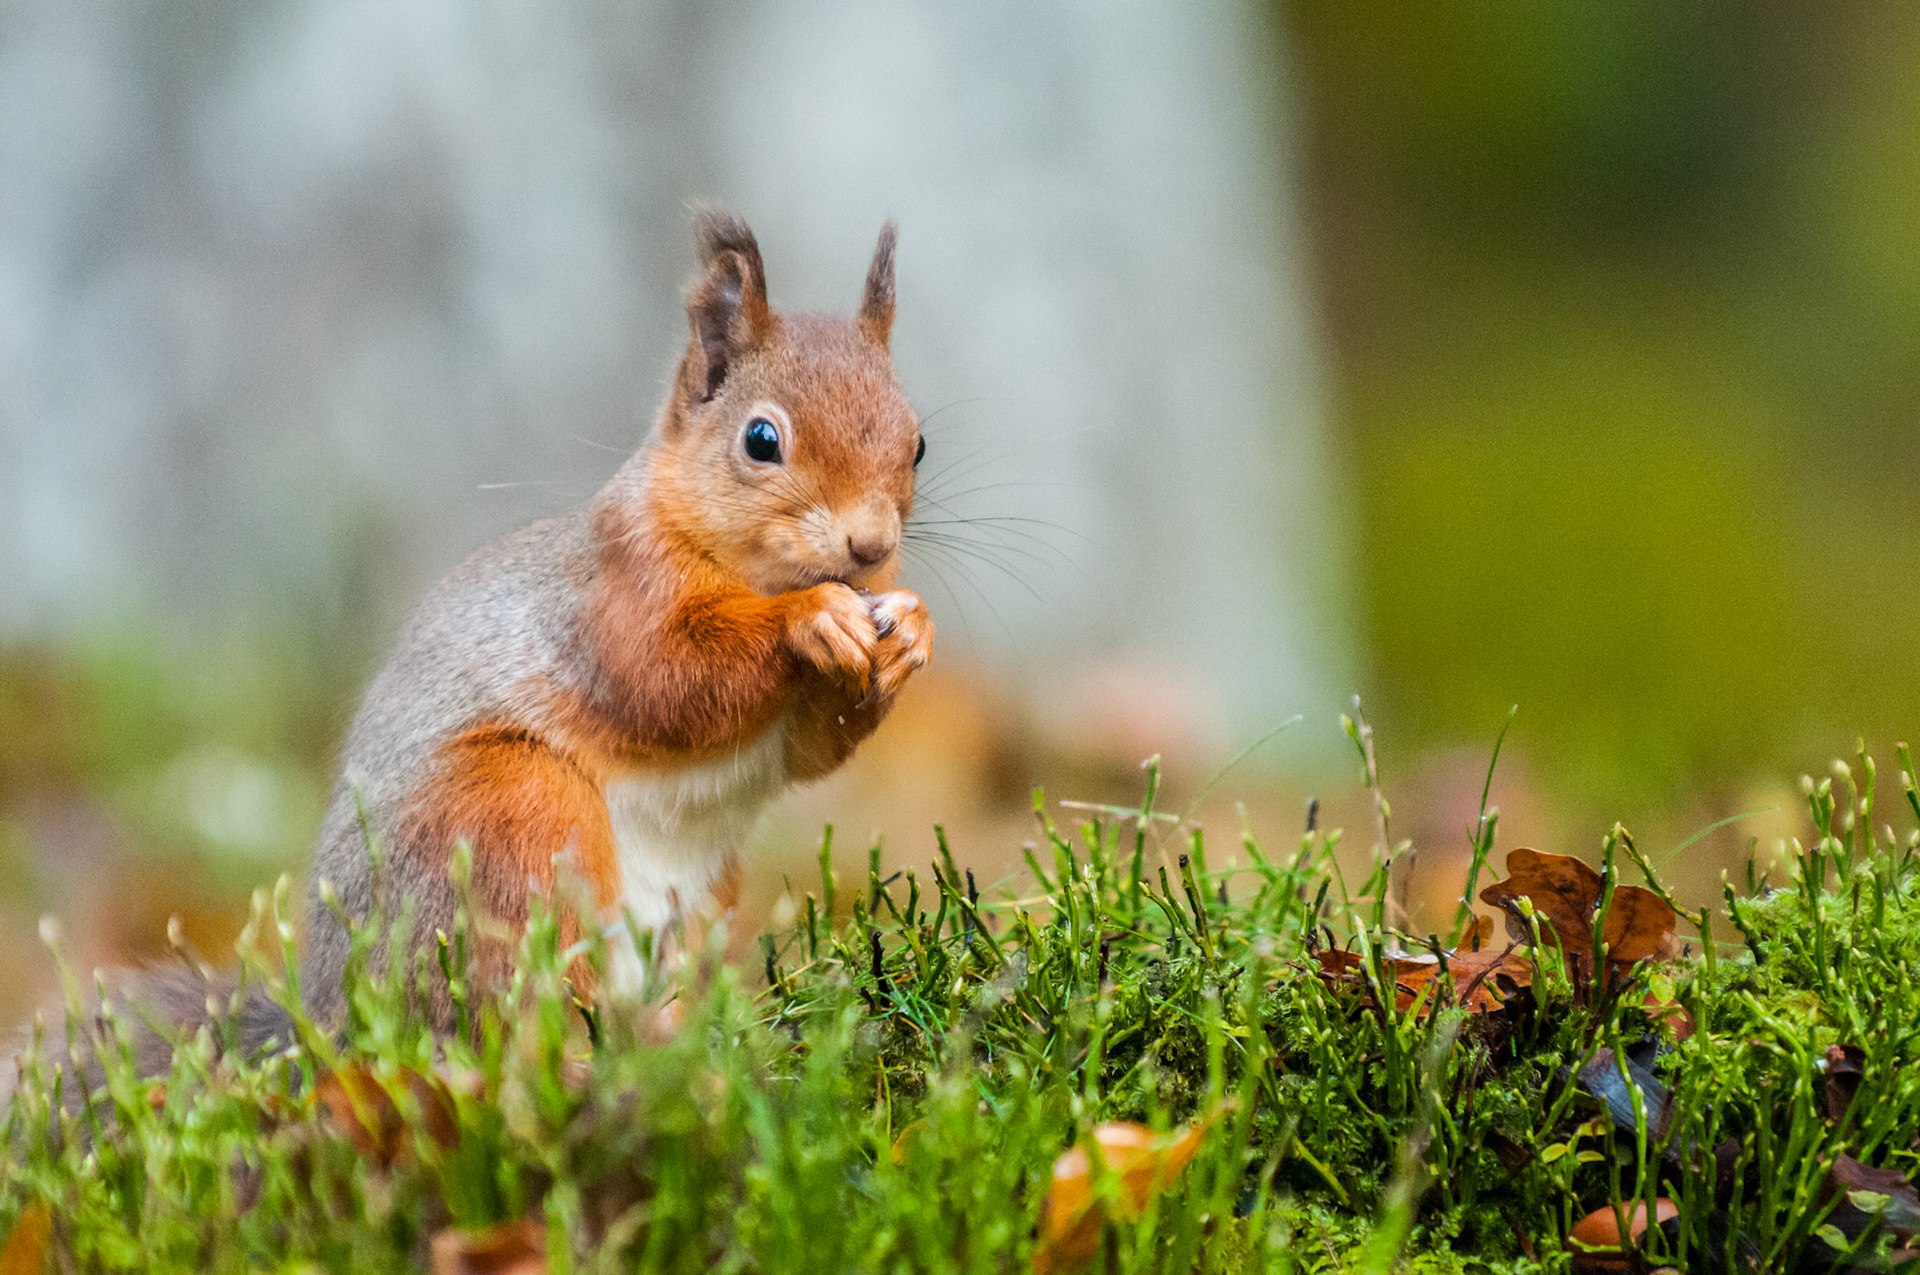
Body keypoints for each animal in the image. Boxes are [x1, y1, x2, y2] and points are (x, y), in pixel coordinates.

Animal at [11, 211, 933, 1091]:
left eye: (918, 441)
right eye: (761, 440)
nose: (870, 545)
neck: (741, 567)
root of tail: (335, 1023)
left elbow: (807, 751)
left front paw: (909, 632)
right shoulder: (609, 601)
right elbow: (667, 680)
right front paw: (810, 617)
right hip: (511, 817)